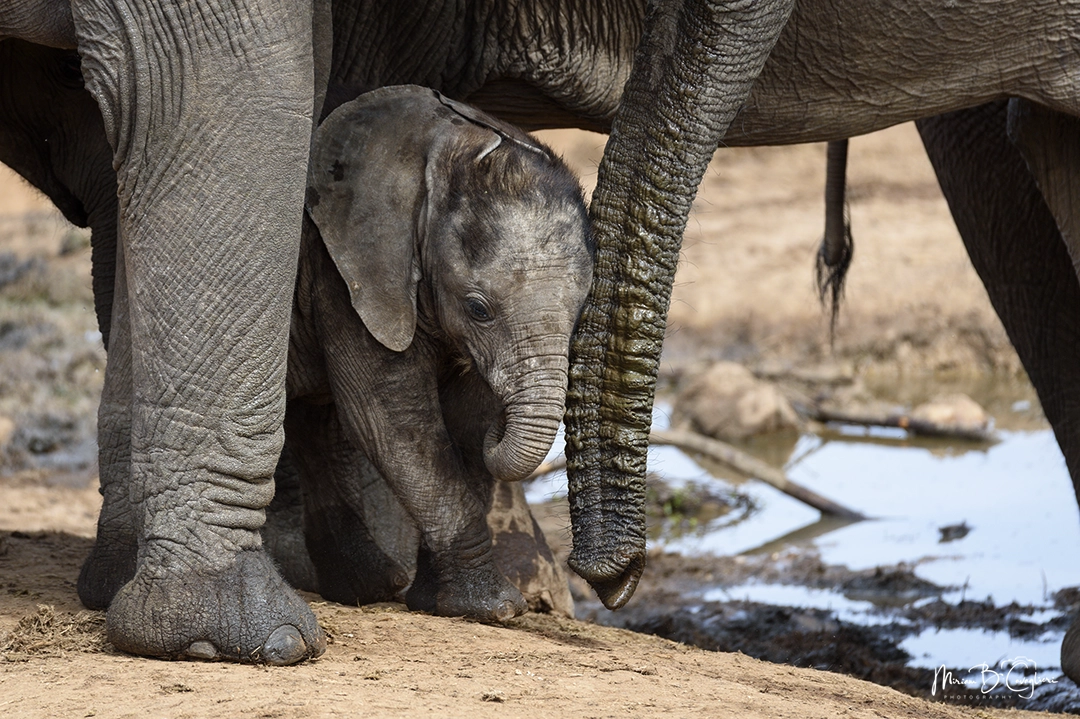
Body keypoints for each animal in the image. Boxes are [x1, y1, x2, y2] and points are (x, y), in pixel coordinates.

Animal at [5, 0, 1080, 677]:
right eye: (478, 309)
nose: (621, 578)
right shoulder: (361, 277)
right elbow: (393, 406)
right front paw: (491, 602)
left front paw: (507, 589)